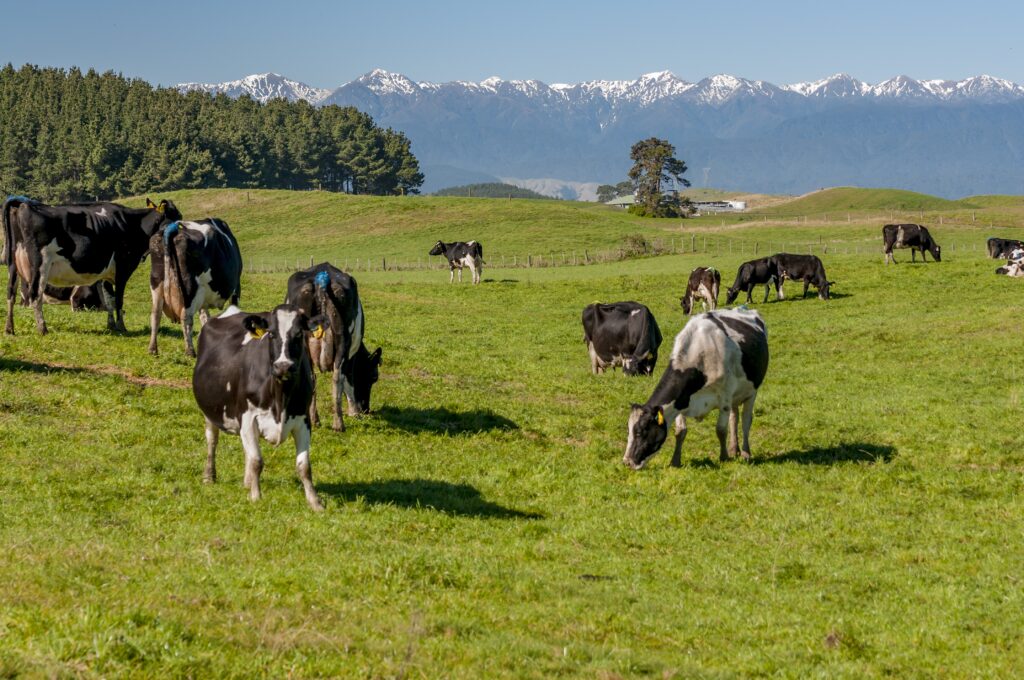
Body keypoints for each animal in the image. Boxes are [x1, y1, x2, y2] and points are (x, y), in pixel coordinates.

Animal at [3, 196, 181, 335]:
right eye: (175, 219)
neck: (135, 225)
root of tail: (24, 204)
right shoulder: (123, 269)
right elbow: (118, 300)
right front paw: (122, 327)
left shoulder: (106, 274)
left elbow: (109, 300)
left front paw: (111, 326)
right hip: (40, 263)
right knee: (35, 294)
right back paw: (42, 328)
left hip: (13, 265)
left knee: (11, 293)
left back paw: (9, 329)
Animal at [147, 219, 243, 357]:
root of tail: (172, 228)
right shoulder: (236, 288)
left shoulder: (204, 299)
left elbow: (204, 318)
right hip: (190, 288)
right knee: (186, 318)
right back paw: (190, 351)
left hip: (156, 283)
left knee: (155, 314)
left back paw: (152, 349)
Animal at [192, 304, 327, 511]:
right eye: (271, 333)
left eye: (298, 334)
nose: (283, 366)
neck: (280, 399)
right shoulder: (247, 417)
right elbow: (257, 460)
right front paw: (256, 497)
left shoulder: (303, 420)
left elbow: (304, 465)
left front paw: (314, 502)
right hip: (210, 411)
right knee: (212, 440)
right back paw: (209, 476)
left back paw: (247, 482)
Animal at [285, 263, 382, 431]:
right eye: (373, 377)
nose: (366, 409)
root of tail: (322, 280)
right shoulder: (352, 354)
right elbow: (349, 381)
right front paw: (354, 412)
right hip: (343, 339)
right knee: (338, 377)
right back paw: (338, 424)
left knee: (312, 377)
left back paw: (315, 419)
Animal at [623, 307, 768, 470]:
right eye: (629, 430)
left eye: (640, 432)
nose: (627, 462)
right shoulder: (681, 400)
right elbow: (680, 432)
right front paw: (675, 461)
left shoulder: (725, 397)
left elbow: (720, 430)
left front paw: (723, 457)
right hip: (736, 395)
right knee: (734, 417)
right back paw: (733, 449)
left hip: (752, 392)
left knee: (745, 421)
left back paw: (745, 453)